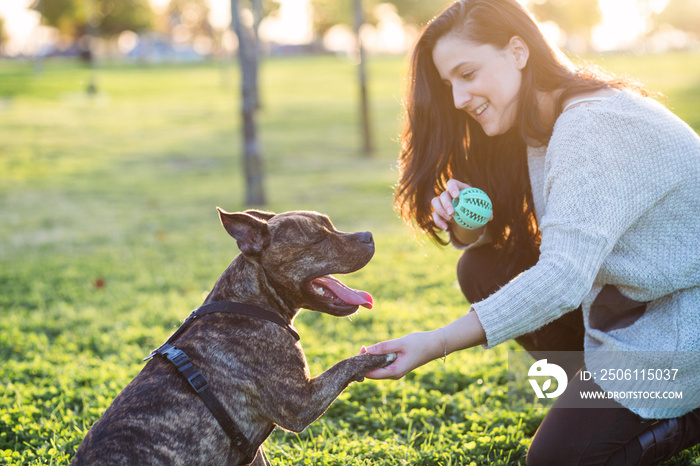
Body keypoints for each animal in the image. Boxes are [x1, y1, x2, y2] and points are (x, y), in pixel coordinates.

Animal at [74, 210, 400, 466]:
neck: (249, 303)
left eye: (331, 226)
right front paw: (379, 356)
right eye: (319, 239)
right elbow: (346, 364)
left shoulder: (256, 450)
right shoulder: (300, 404)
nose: (368, 235)